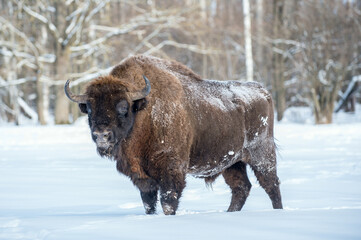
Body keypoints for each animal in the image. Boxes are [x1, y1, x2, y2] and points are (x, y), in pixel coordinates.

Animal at [65, 55, 284, 215]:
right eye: (90, 109)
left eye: (123, 108)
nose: (101, 135)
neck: (144, 111)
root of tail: (263, 92)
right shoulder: (142, 178)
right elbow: (149, 202)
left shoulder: (171, 169)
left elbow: (168, 201)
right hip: (232, 163)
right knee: (241, 187)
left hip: (261, 155)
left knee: (271, 185)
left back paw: (278, 212)